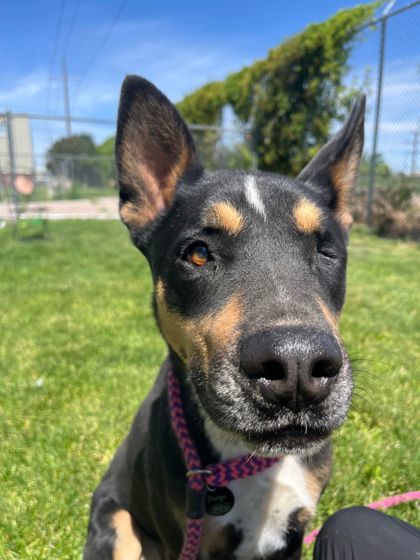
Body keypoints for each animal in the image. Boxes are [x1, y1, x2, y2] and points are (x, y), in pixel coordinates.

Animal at [84, 75, 364, 560]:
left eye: (327, 250)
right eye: (198, 253)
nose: (297, 366)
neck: (250, 458)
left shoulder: (295, 532)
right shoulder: (185, 541)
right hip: (118, 527)